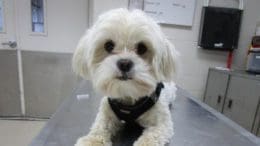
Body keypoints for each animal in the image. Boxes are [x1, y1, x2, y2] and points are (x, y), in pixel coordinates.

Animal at [73, 8, 179, 145]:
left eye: (142, 48)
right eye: (108, 45)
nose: (124, 63)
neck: (128, 97)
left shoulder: (162, 123)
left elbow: (151, 137)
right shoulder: (106, 112)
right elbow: (100, 126)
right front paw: (92, 140)